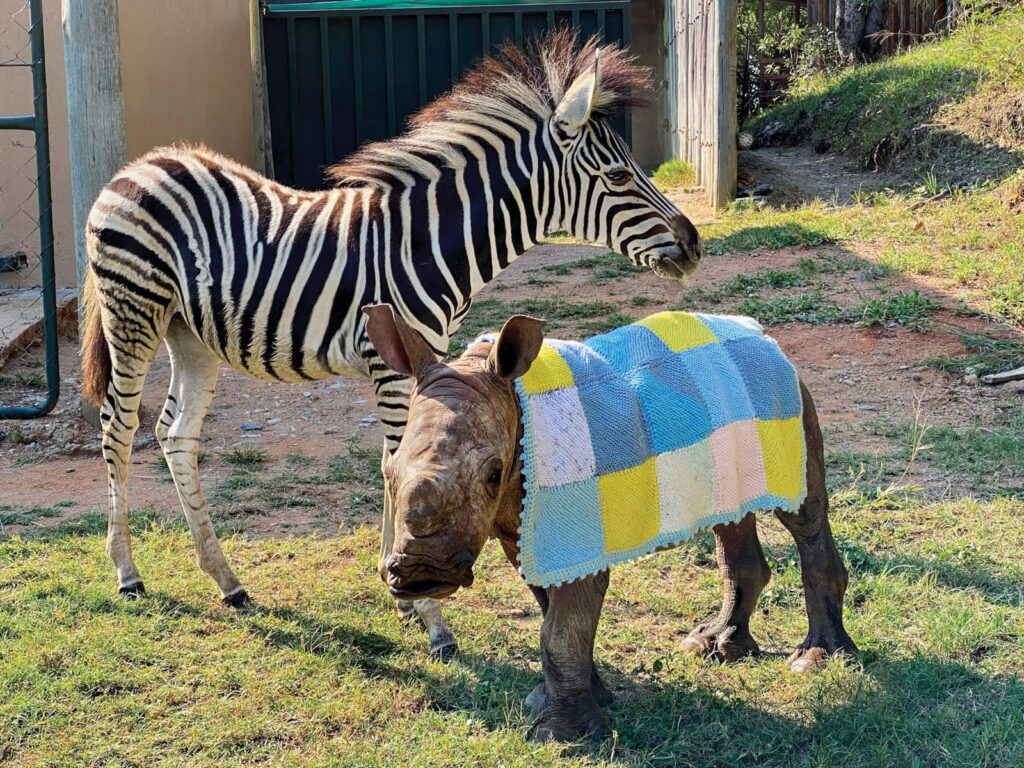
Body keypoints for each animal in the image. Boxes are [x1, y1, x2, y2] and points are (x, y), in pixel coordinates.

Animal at [79, 31, 702, 659]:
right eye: (619, 177)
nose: (695, 244)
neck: (428, 244)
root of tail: (137, 166)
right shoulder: (392, 362)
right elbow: (401, 460)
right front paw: (429, 615)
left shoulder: (418, 360)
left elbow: (393, 461)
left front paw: (400, 595)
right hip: (135, 310)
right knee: (119, 428)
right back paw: (127, 572)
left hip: (192, 333)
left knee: (175, 434)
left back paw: (227, 580)